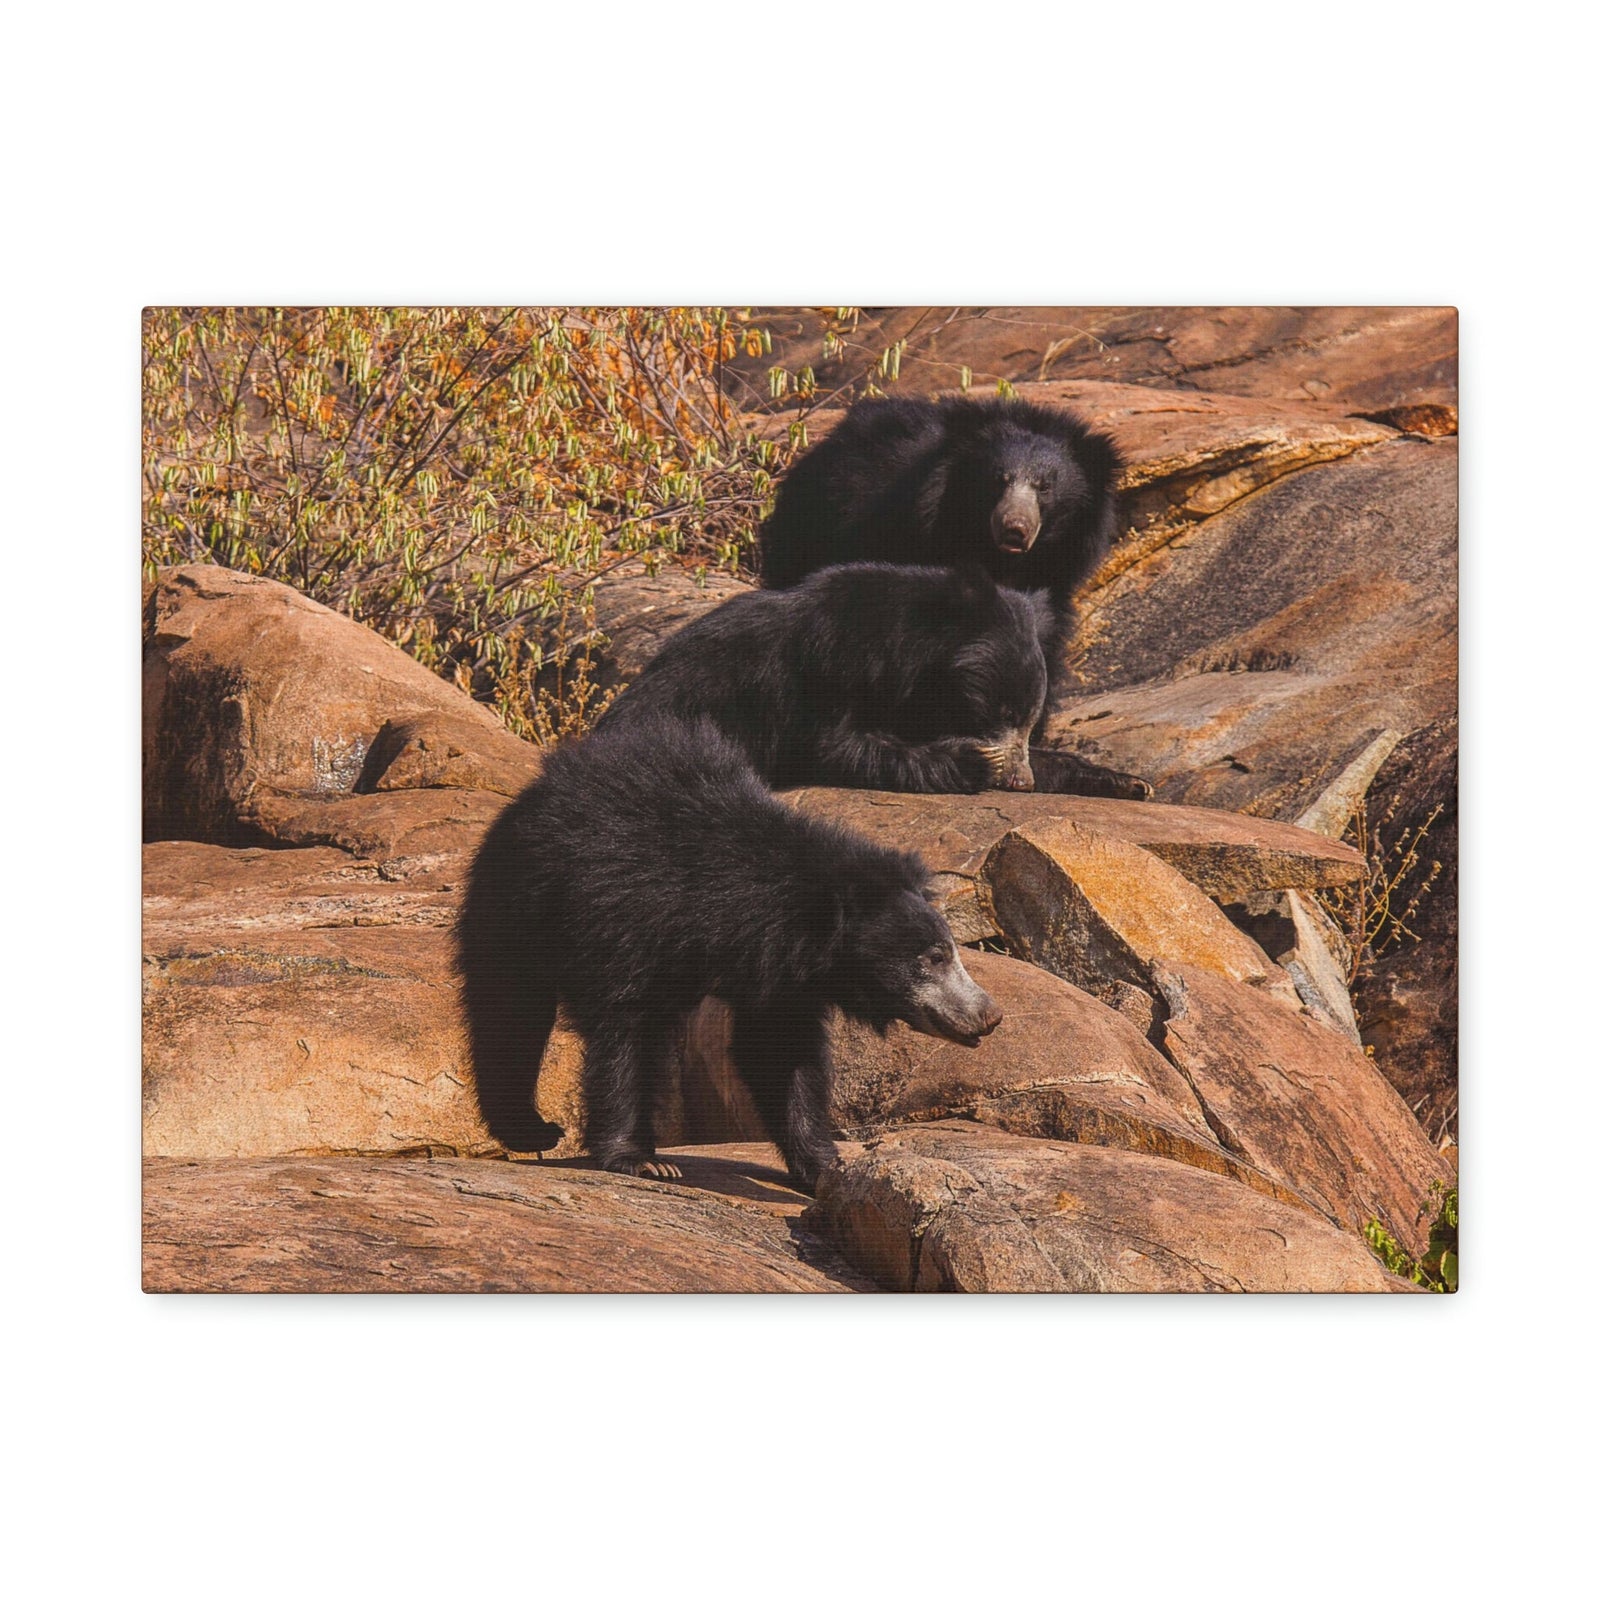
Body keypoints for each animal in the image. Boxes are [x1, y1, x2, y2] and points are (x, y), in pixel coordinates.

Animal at [455, 717, 1003, 1192]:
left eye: (949, 951)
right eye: (934, 957)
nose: (990, 1015)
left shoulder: (784, 975)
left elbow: (780, 1053)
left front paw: (824, 1165)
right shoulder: (625, 917)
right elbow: (626, 1033)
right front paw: (643, 1161)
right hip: (518, 901)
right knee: (509, 1010)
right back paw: (533, 1128)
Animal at [592, 563, 1051, 793]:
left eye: (1031, 721)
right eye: (1004, 713)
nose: (1022, 782)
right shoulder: (824, 669)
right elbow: (834, 747)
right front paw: (975, 761)